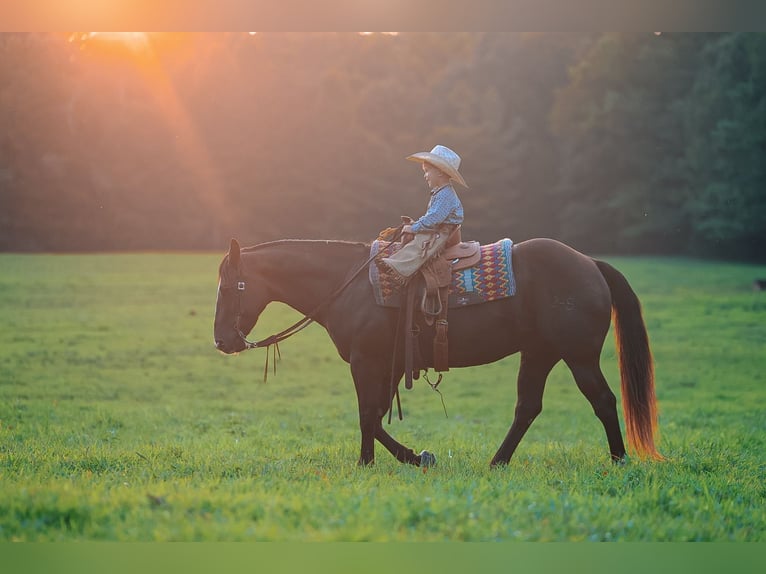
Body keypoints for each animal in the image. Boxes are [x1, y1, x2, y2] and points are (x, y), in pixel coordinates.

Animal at [214, 237, 662, 467]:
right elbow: (377, 415)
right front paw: (416, 457)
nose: (221, 341)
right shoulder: (391, 364)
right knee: (528, 407)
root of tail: (589, 263)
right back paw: (496, 463)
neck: (349, 284)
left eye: (230, 286)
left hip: (578, 355)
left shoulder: (366, 362)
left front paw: (370, 463)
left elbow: (367, 415)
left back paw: (619, 460)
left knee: (602, 400)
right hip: (539, 353)